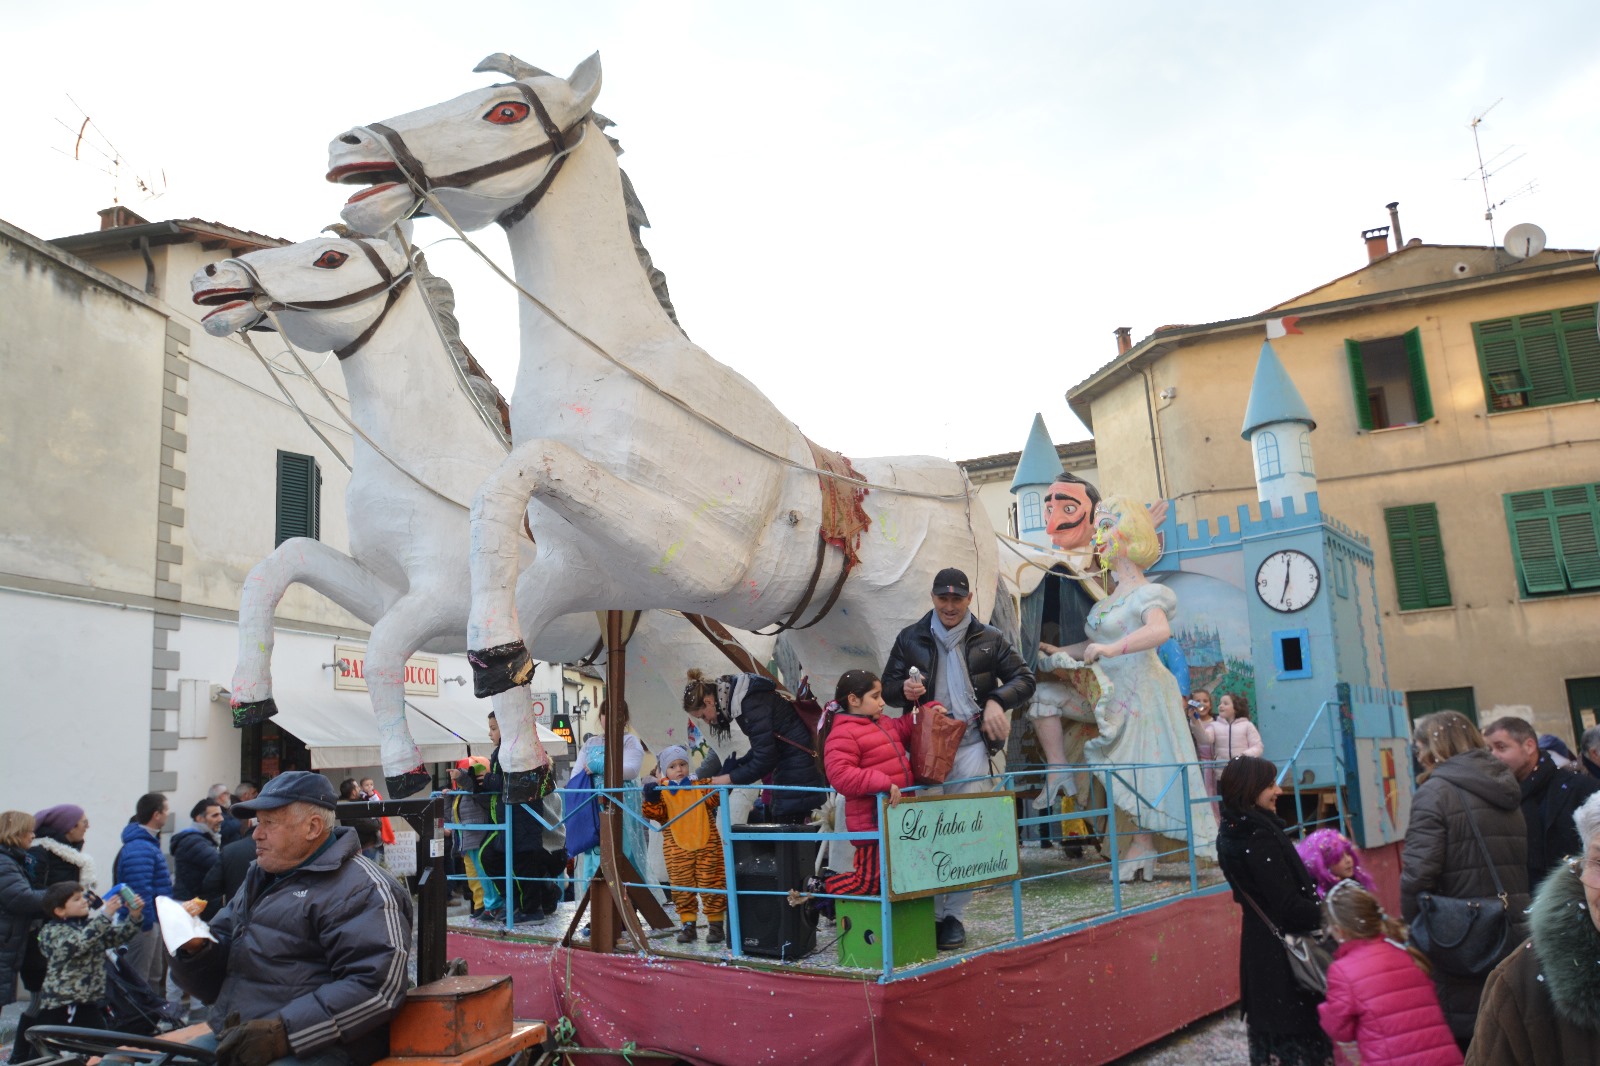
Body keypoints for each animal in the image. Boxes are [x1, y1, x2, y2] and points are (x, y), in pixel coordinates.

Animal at [193, 235, 768, 797]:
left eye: (331, 257)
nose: (212, 273)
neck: (425, 459)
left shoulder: (442, 600)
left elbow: (381, 653)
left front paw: (414, 772)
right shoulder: (390, 595)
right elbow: (282, 564)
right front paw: (251, 699)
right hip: (656, 683)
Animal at [326, 54, 998, 768]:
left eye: (506, 110)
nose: (350, 144)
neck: (619, 362)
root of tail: (968, 496)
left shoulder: (697, 562)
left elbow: (525, 470)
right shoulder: (578, 569)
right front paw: (505, 707)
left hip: (915, 625)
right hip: (836, 640)